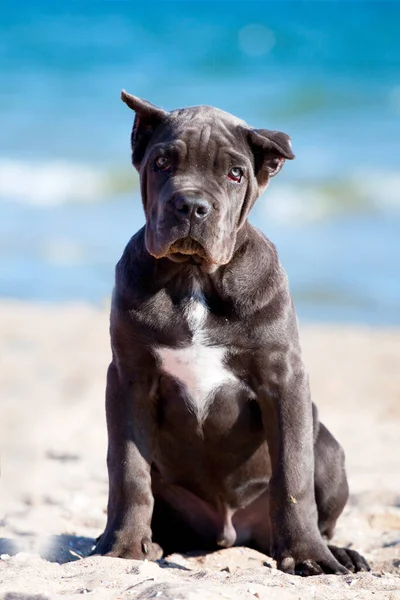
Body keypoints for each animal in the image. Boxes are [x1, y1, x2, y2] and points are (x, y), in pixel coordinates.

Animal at [93, 90, 368, 576]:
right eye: (162, 162)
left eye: (234, 173)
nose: (190, 206)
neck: (193, 277)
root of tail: (229, 531)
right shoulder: (128, 379)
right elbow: (127, 469)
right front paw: (122, 546)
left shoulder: (283, 378)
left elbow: (293, 474)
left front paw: (308, 555)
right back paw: (151, 542)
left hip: (330, 451)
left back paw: (337, 552)